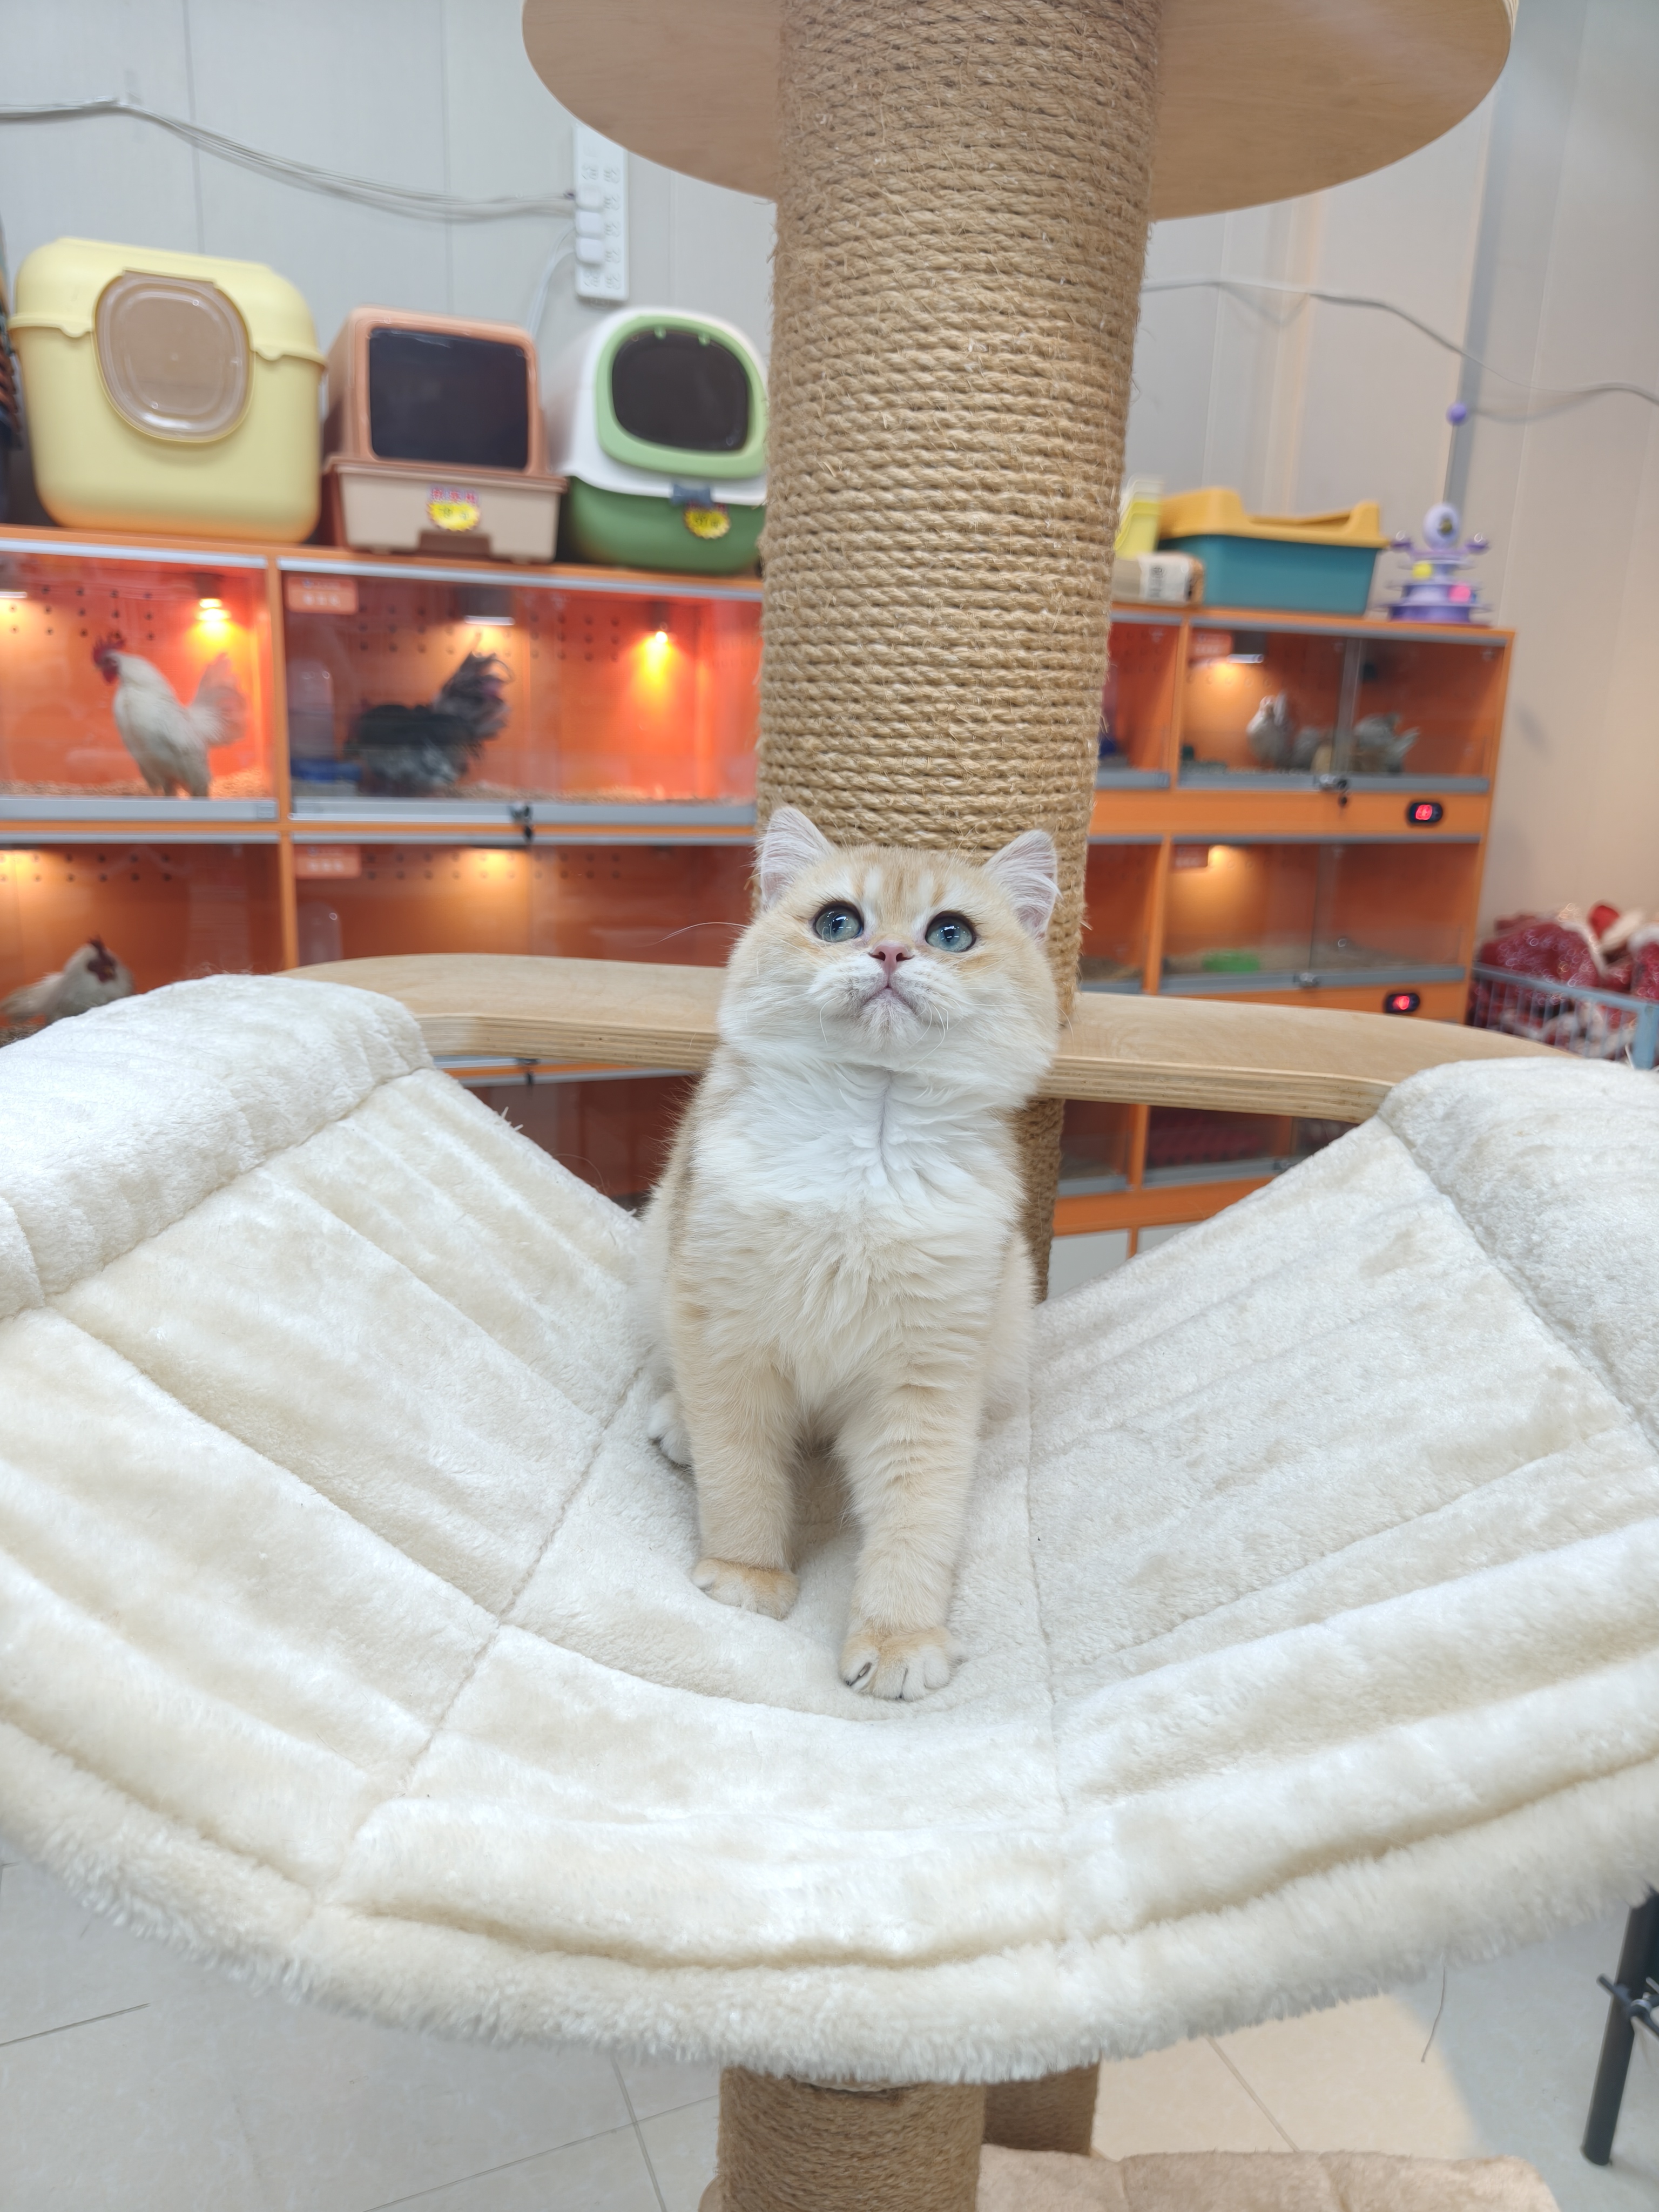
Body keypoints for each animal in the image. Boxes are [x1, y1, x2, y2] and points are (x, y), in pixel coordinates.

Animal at [634, 806, 1061, 1701]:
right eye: (838, 923)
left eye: (952, 934)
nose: (892, 953)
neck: (869, 1143)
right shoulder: (728, 1341)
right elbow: (742, 1477)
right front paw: (746, 1578)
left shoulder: (925, 1385)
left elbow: (917, 1520)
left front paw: (899, 1641)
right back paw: (676, 1423)